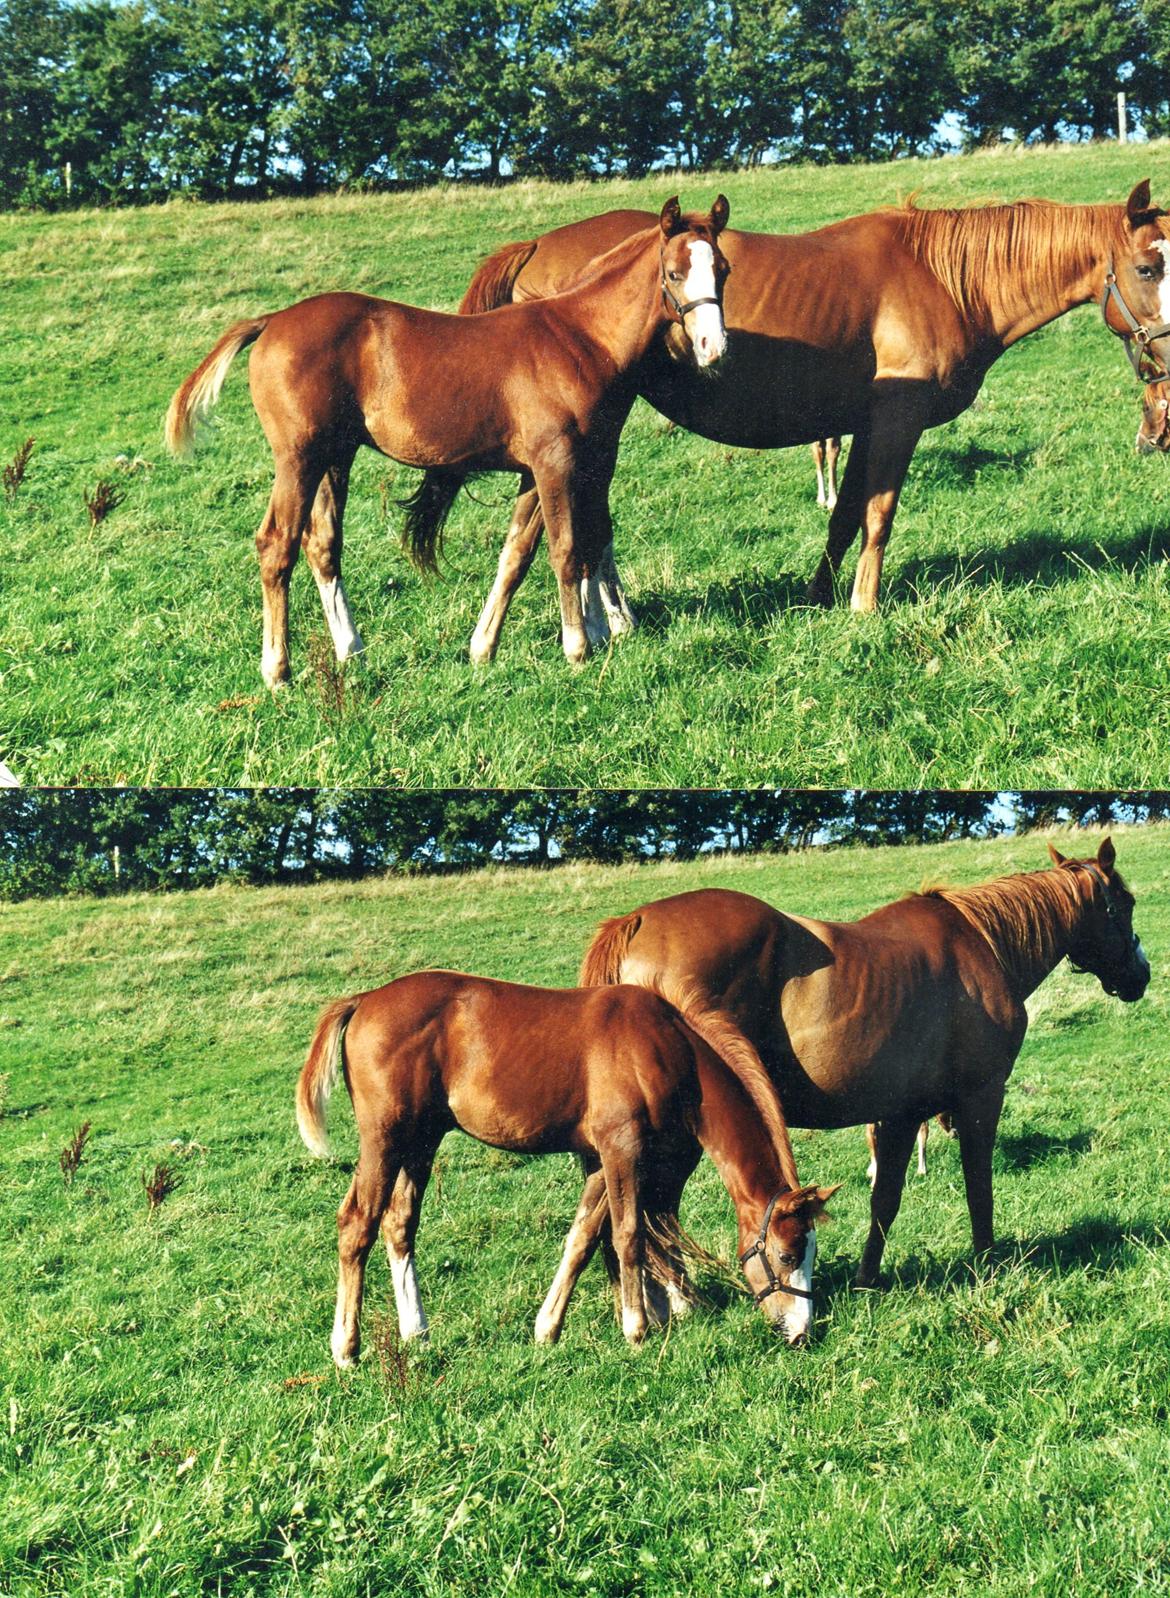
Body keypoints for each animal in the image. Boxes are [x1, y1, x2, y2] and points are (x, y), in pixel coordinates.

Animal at [164, 196, 732, 683]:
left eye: (723, 269)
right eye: (675, 273)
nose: (714, 347)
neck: (579, 337)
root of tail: (271, 321)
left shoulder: (543, 472)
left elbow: (519, 555)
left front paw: (484, 648)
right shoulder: (556, 463)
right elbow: (568, 549)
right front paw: (578, 648)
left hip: (333, 458)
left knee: (322, 545)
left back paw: (353, 652)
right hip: (298, 458)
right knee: (276, 545)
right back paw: (277, 671)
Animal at [297, 965, 837, 1355]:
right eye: (787, 1255)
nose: (802, 1332)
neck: (667, 1048)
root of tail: (364, 1000)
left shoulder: (601, 1160)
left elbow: (581, 1239)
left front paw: (547, 1328)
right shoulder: (622, 1150)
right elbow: (627, 1235)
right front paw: (637, 1329)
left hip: (420, 1144)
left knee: (399, 1225)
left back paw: (417, 1332)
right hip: (384, 1141)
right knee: (357, 1224)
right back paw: (346, 1348)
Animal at [460, 181, 1170, 661]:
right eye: (1147, 267)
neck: (944, 277)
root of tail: (538, 246)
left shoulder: (863, 423)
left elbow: (845, 513)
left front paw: (820, 595)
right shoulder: (897, 420)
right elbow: (879, 515)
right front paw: (864, 605)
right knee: (554, 528)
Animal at [581, 843, 1144, 1291]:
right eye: (1127, 905)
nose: (1141, 974)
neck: (984, 946)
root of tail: (635, 923)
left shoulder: (900, 1115)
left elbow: (885, 1200)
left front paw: (867, 1278)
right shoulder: (981, 1098)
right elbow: (978, 1187)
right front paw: (987, 1262)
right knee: (643, 1216)